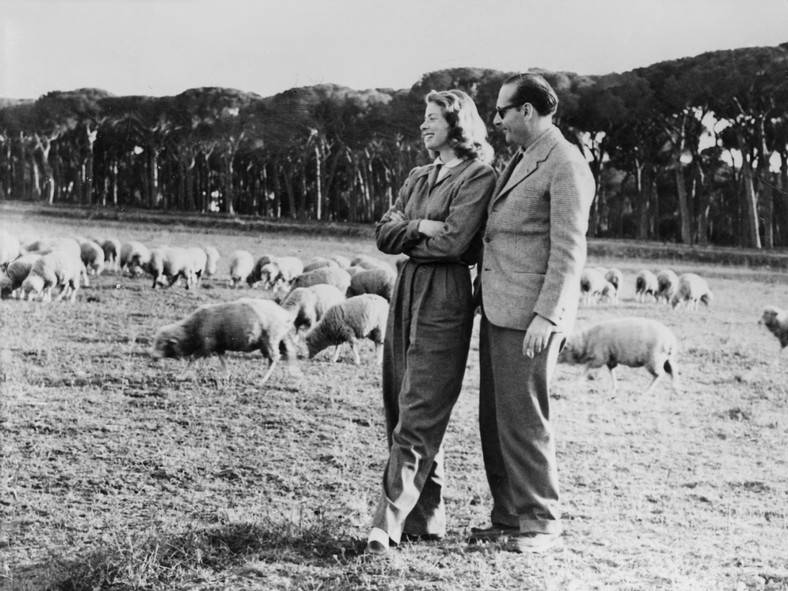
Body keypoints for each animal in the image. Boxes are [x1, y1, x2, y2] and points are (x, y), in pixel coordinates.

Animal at [148, 298, 298, 386]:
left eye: (162, 344)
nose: (153, 357)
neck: (191, 330)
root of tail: (285, 314)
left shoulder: (206, 345)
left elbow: (192, 359)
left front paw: (181, 376)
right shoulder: (218, 345)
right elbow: (222, 359)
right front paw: (226, 375)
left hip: (270, 339)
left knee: (274, 358)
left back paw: (262, 380)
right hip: (279, 338)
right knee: (289, 353)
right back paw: (295, 373)